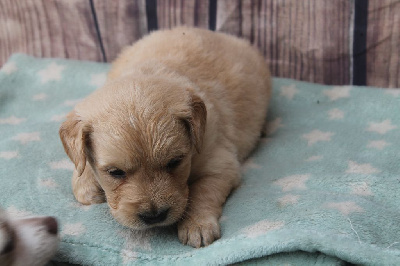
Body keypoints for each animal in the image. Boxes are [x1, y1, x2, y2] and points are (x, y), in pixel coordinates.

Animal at [59, 27, 272, 247]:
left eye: (175, 162)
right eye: (116, 172)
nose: (154, 216)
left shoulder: (220, 163)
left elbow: (202, 191)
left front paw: (197, 225)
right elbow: (81, 163)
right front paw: (85, 183)